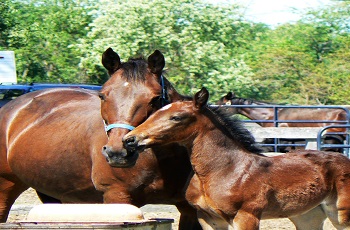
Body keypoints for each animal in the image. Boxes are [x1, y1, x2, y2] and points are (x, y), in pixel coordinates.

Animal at [0, 47, 201, 229]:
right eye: (103, 95)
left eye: (155, 98)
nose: (118, 153)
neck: (162, 160)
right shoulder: (117, 198)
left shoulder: (189, 209)